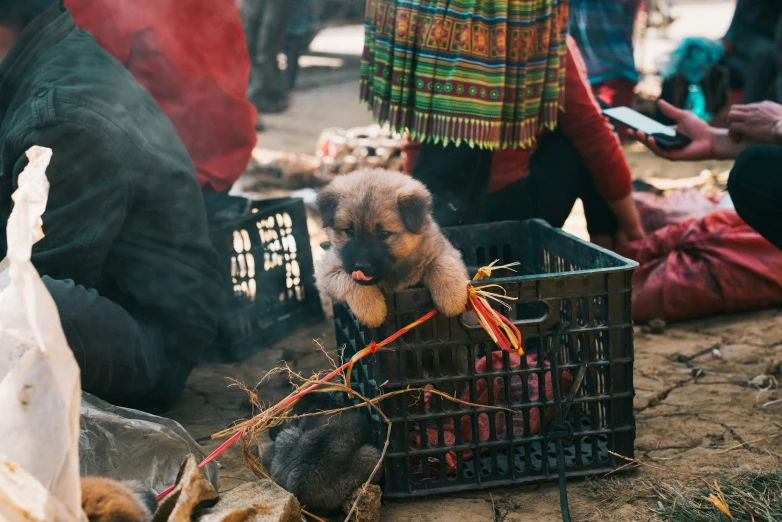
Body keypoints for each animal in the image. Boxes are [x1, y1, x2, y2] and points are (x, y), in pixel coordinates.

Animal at [316, 170, 468, 324]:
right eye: (349, 231)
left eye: (384, 233)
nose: (361, 266)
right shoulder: (326, 271)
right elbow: (348, 279)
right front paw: (371, 308)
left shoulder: (448, 252)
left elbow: (442, 262)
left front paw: (452, 298)